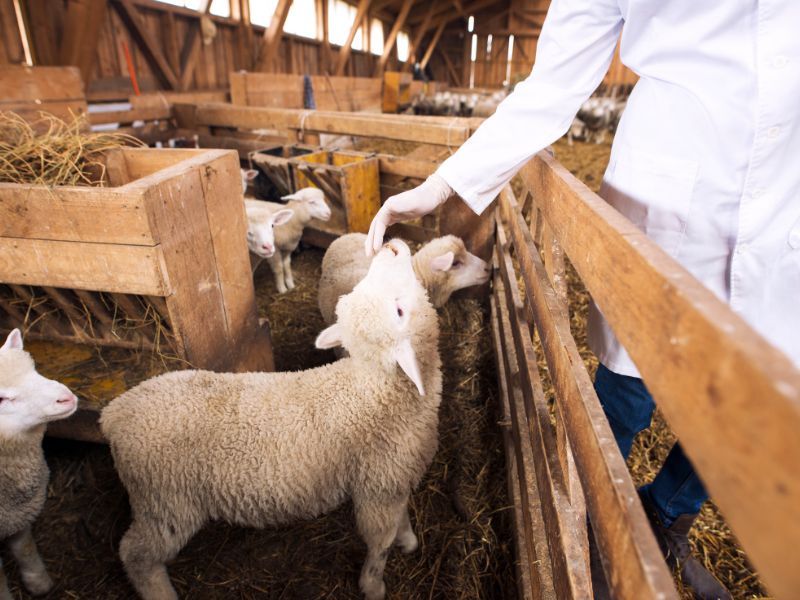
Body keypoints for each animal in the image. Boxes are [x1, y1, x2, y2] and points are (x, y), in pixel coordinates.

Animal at [0, 328, 77, 600]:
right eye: (2, 399)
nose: (66, 398)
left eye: (34, 368)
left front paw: (39, 583)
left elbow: (25, 547)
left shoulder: (18, 514)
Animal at [100, 238, 444, 600]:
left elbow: (400, 518)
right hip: (166, 501)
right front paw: (373, 585)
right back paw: (161, 593)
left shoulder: (395, 480)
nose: (390, 247)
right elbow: (379, 543)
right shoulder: (377, 487)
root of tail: (115, 412)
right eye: (399, 311)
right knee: (135, 554)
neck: (376, 388)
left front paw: (408, 540)